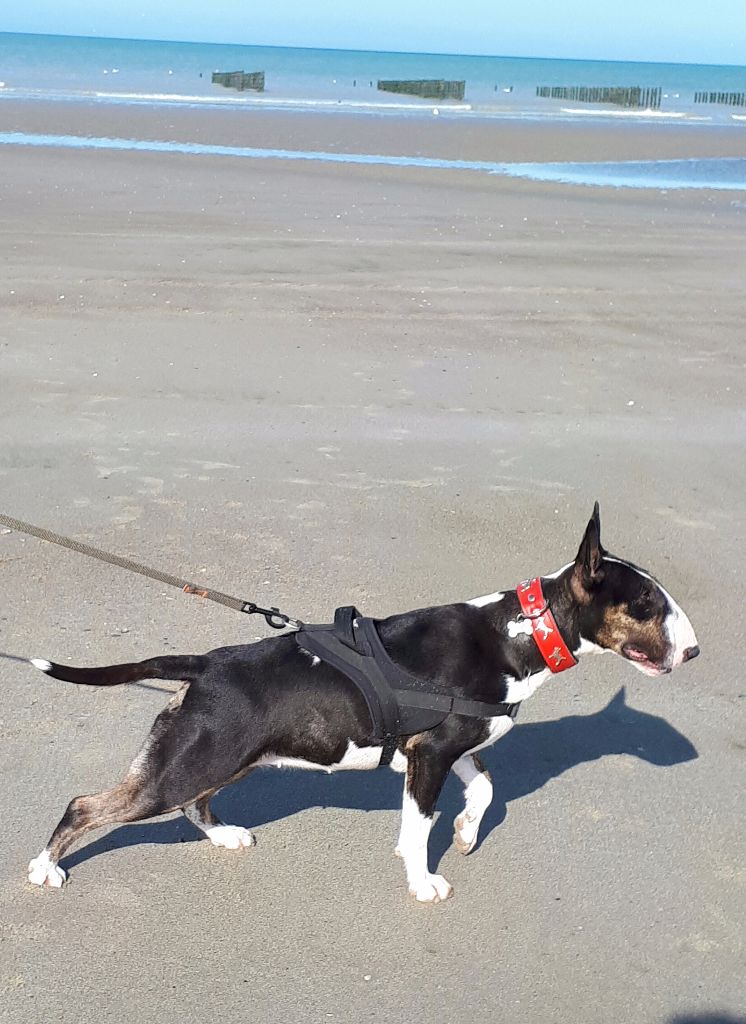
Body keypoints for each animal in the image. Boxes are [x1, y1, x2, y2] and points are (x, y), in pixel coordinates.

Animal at [26, 504, 699, 901]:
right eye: (646, 605)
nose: (693, 652)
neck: (516, 633)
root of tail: (208, 663)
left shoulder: (450, 746)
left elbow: (483, 790)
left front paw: (464, 834)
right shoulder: (431, 756)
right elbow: (417, 826)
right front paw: (424, 881)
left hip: (225, 758)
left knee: (195, 802)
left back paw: (223, 837)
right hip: (190, 762)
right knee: (88, 805)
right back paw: (43, 868)